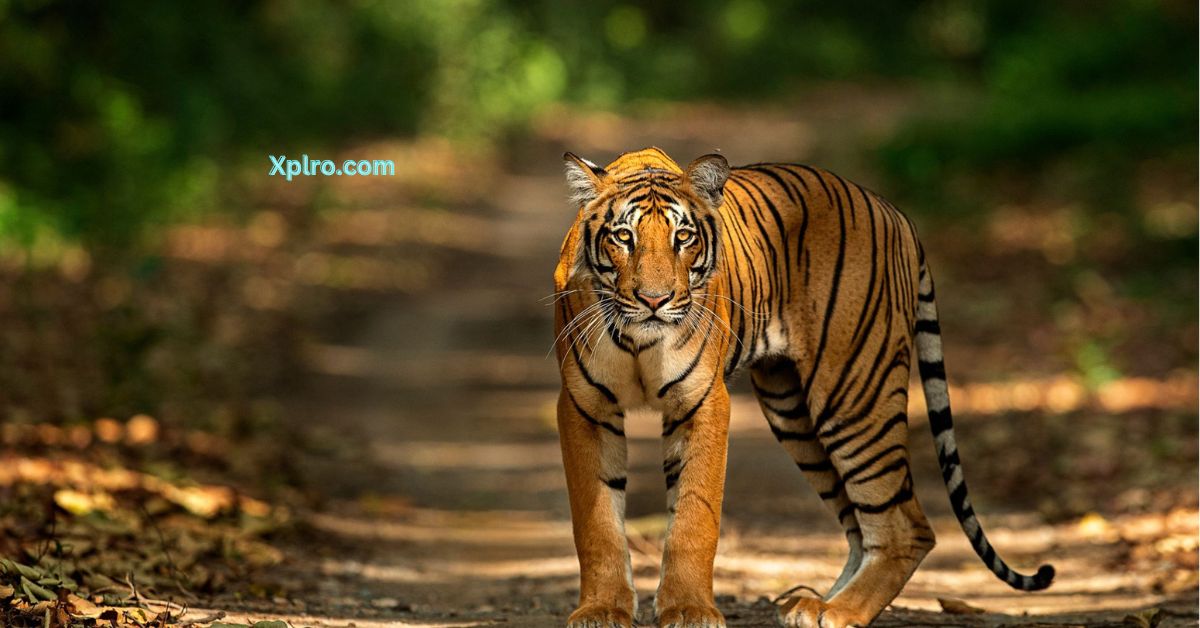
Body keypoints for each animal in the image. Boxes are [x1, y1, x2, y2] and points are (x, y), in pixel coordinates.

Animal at [549, 148, 1056, 628]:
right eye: (623, 237)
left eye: (684, 238)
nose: (655, 301)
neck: (640, 340)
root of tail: (894, 211)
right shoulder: (584, 406)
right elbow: (597, 522)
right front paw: (601, 609)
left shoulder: (703, 403)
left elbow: (695, 516)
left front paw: (690, 610)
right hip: (793, 412)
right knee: (861, 525)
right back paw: (813, 604)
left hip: (854, 394)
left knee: (905, 526)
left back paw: (840, 611)